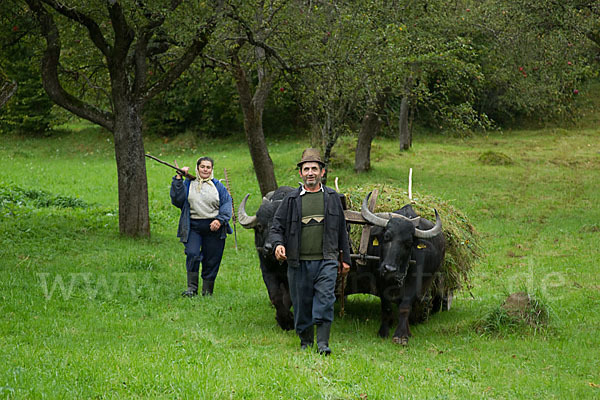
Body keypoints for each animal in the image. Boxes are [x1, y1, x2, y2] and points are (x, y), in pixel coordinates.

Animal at [238, 186, 296, 330]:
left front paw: (288, 320)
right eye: (260, 226)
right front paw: (282, 319)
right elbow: (275, 296)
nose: (269, 248)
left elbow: (289, 296)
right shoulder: (267, 272)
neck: (279, 264)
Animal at [342, 192, 446, 346]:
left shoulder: (414, 282)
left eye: (409, 243)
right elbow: (386, 306)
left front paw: (401, 335)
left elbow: (405, 307)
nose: (389, 269)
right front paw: (383, 331)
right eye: (386, 237)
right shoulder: (379, 279)